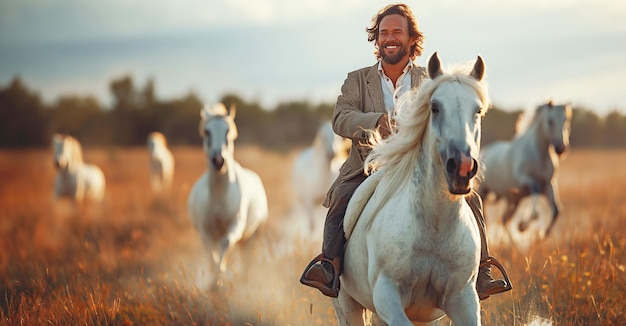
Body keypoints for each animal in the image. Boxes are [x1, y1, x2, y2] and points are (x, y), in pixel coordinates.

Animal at [183, 103, 266, 284]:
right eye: (207, 131)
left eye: (228, 131)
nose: (218, 161)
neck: (220, 196)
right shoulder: (205, 231)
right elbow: (211, 255)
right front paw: (215, 281)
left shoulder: (236, 225)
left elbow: (225, 244)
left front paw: (220, 273)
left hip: (252, 235)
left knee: (247, 259)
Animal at [334, 52, 490, 324]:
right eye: (435, 107)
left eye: (478, 110)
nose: (461, 167)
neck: (434, 225)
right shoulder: (387, 294)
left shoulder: (462, 298)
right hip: (347, 305)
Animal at [478, 100, 572, 238]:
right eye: (550, 121)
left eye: (566, 120)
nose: (561, 149)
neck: (539, 154)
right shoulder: (524, 179)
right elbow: (535, 197)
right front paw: (523, 226)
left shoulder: (549, 185)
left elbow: (556, 210)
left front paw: (542, 234)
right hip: (483, 192)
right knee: (487, 216)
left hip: (514, 199)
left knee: (505, 219)